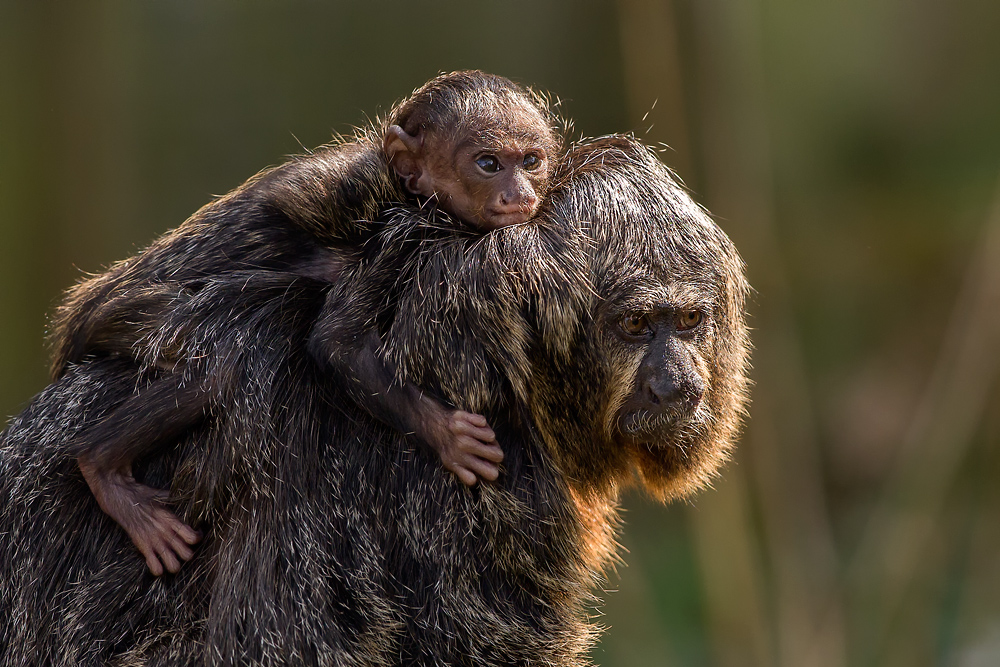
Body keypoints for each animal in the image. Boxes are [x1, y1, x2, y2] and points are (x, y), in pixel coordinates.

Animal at [62, 70, 564, 576]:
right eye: (488, 163)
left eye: (531, 161)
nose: (520, 194)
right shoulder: (399, 233)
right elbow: (335, 342)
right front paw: (447, 436)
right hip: (127, 315)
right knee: (215, 371)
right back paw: (100, 465)